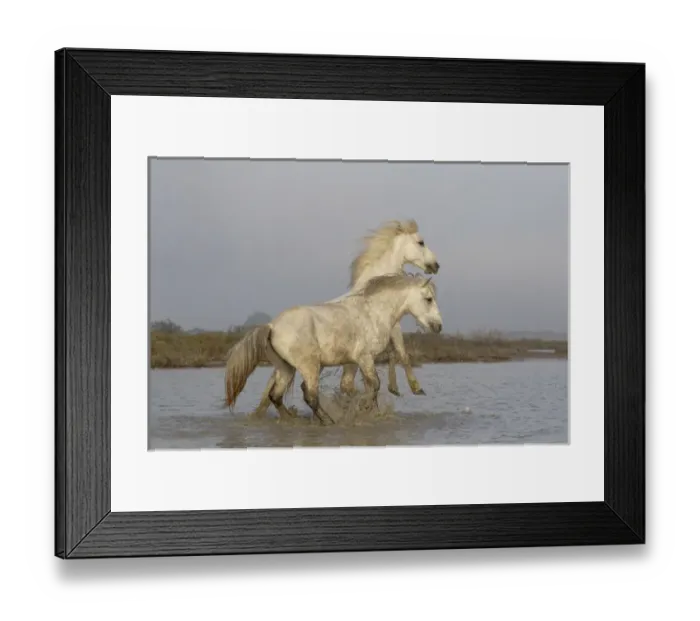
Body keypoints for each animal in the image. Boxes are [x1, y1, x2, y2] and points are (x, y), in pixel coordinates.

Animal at [224, 273, 443, 425]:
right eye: (429, 299)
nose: (439, 327)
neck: (373, 313)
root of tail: (272, 326)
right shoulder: (365, 358)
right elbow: (374, 385)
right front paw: (364, 409)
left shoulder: (356, 361)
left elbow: (362, 387)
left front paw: (372, 411)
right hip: (309, 366)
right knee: (310, 396)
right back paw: (328, 421)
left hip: (286, 368)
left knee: (276, 396)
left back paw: (294, 419)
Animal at [250, 219, 440, 418]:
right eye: (421, 242)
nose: (436, 265)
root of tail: (272, 328)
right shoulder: (390, 331)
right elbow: (401, 353)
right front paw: (412, 388)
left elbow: (395, 356)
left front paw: (393, 390)